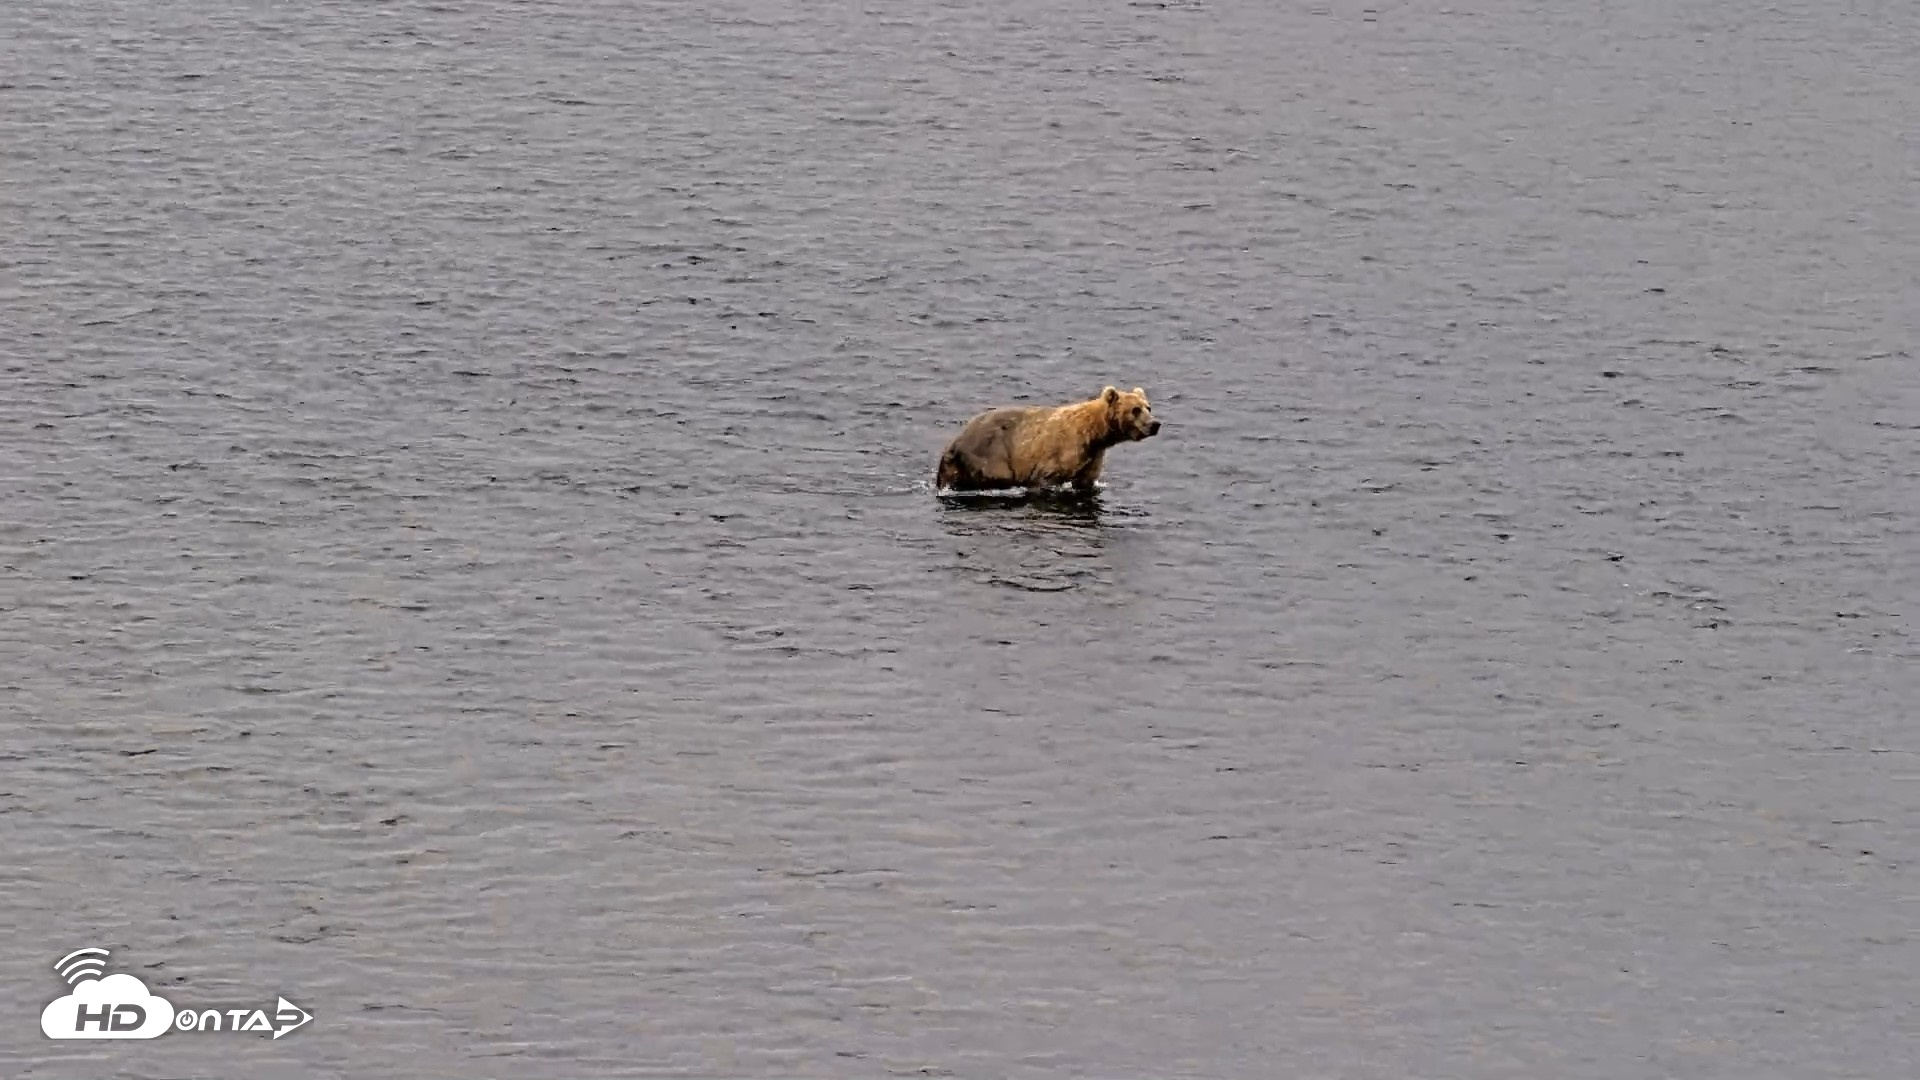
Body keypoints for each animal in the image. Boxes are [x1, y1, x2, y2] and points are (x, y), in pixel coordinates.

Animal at [935, 386, 1161, 494]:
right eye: (1135, 410)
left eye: (1148, 407)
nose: (1155, 424)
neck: (1095, 434)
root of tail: (954, 442)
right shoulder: (1056, 455)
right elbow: (1043, 479)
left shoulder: (1092, 458)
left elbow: (1085, 482)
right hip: (989, 454)